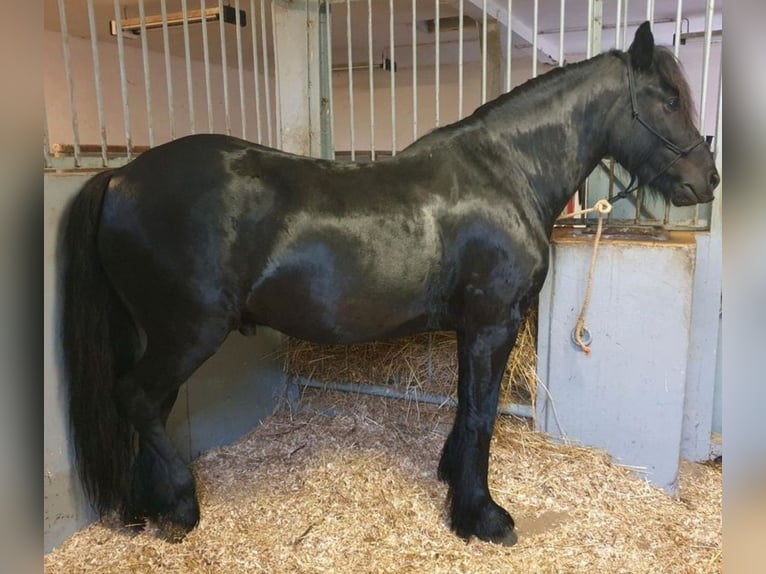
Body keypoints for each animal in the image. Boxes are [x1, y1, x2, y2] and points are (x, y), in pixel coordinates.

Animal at [61, 23, 720, 548]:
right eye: (668, 99)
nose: (707, 180)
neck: (505, 173)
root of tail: (120, 177)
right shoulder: (494, 322)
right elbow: (481, 415)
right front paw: (483, 517)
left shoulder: (473, 328)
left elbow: (467, 405)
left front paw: (455, 485)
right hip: (189, 332)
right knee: (138, 399)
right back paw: (179, 507)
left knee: (147, 407)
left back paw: (145, 508)